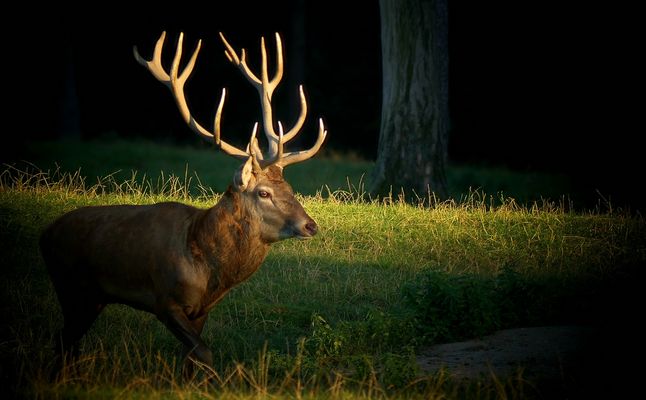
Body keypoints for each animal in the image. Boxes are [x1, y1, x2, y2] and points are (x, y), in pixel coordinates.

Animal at [39, 31, 327, 373]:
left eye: (290, 187)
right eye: (264, 193)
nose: (310, 225)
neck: (206, 271)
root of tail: (44, 234)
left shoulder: (200, 310)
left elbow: (192, 358)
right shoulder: (165, 299)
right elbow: (204, 353)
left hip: (90, 296)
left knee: (67, 341)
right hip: (69, 284)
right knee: (62, 340)